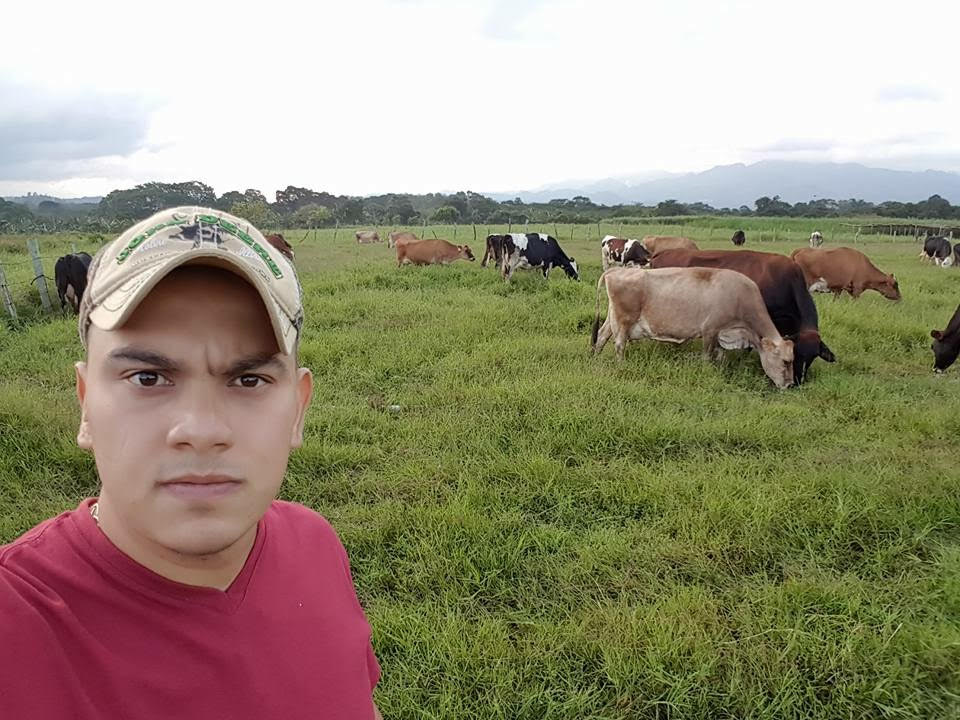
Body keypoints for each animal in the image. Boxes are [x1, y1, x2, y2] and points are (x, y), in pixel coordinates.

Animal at [592, 264, 796, 388]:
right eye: (786, 361)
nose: (790, 384)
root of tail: (615, 270)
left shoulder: (722, 334)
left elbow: (721, 356)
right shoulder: (710, 330)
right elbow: (707, 357)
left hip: (612, 319)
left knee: (601, 337)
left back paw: (594, 358)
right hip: (624, 321)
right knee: (619, 345)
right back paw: (621, 365)